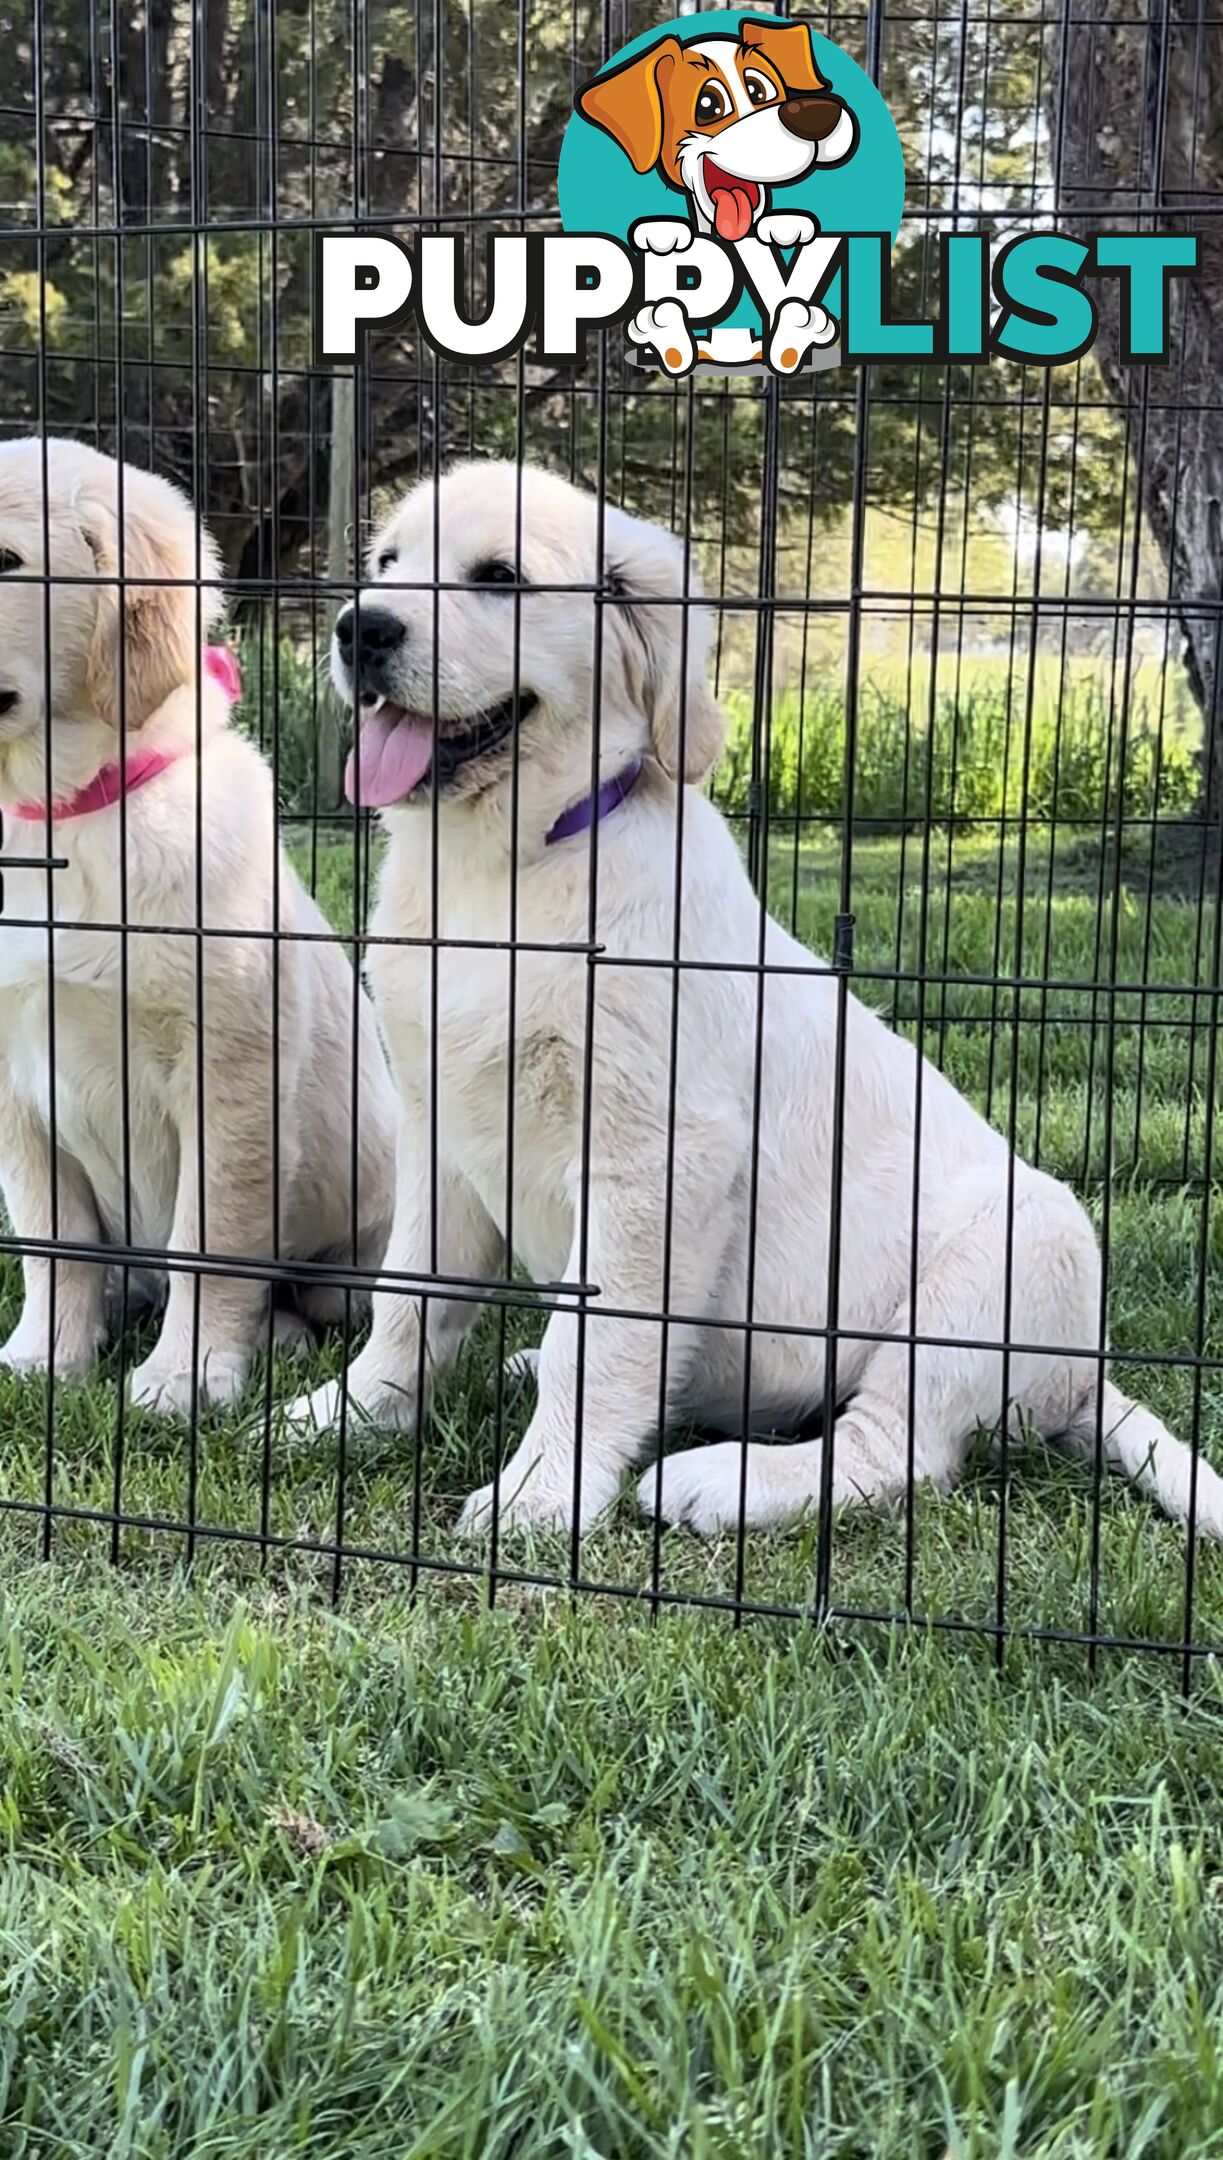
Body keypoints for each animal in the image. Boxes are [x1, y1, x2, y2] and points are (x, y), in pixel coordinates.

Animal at [0, 438, 395, 1416]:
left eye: (6, 559)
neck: (67, 820)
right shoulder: (15, 1078)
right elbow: (50, 1238)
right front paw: (46, 1359)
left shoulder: (231, 1075)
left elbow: (209, 1244)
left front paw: (185, 1378)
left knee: (321, 1300)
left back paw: (275, 1339)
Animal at [298, 455, 1223, 1546]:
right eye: (387, 563)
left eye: (499, 578)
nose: (359, 628)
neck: (506, 869)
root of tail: (1078, 1383)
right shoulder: (439, 1123)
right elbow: (409, 1296)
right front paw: (353, 1411)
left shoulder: (657, 1153)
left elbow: (596, 1343)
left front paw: (542, 1493)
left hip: (1016, 1251)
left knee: (898, 1452)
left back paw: (722, 1481)